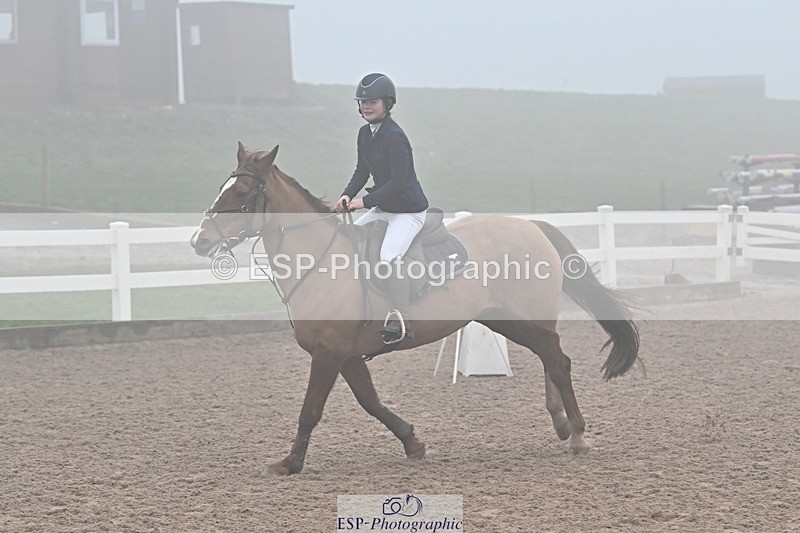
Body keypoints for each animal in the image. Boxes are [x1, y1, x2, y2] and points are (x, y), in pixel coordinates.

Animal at [191, 142, 640, 476]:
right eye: (221, 188)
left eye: (242, 194)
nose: (199, 240)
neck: (320, 259)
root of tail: (533, 225)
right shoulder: (347, 356)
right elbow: (371, 402)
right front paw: (413, 442)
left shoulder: (329, 354)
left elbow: (311, 410)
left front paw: (289, 463)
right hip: (511, 321)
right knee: (551, 360)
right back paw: (561, 424)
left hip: (527, 321)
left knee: (558, 362)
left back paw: (577, 434)